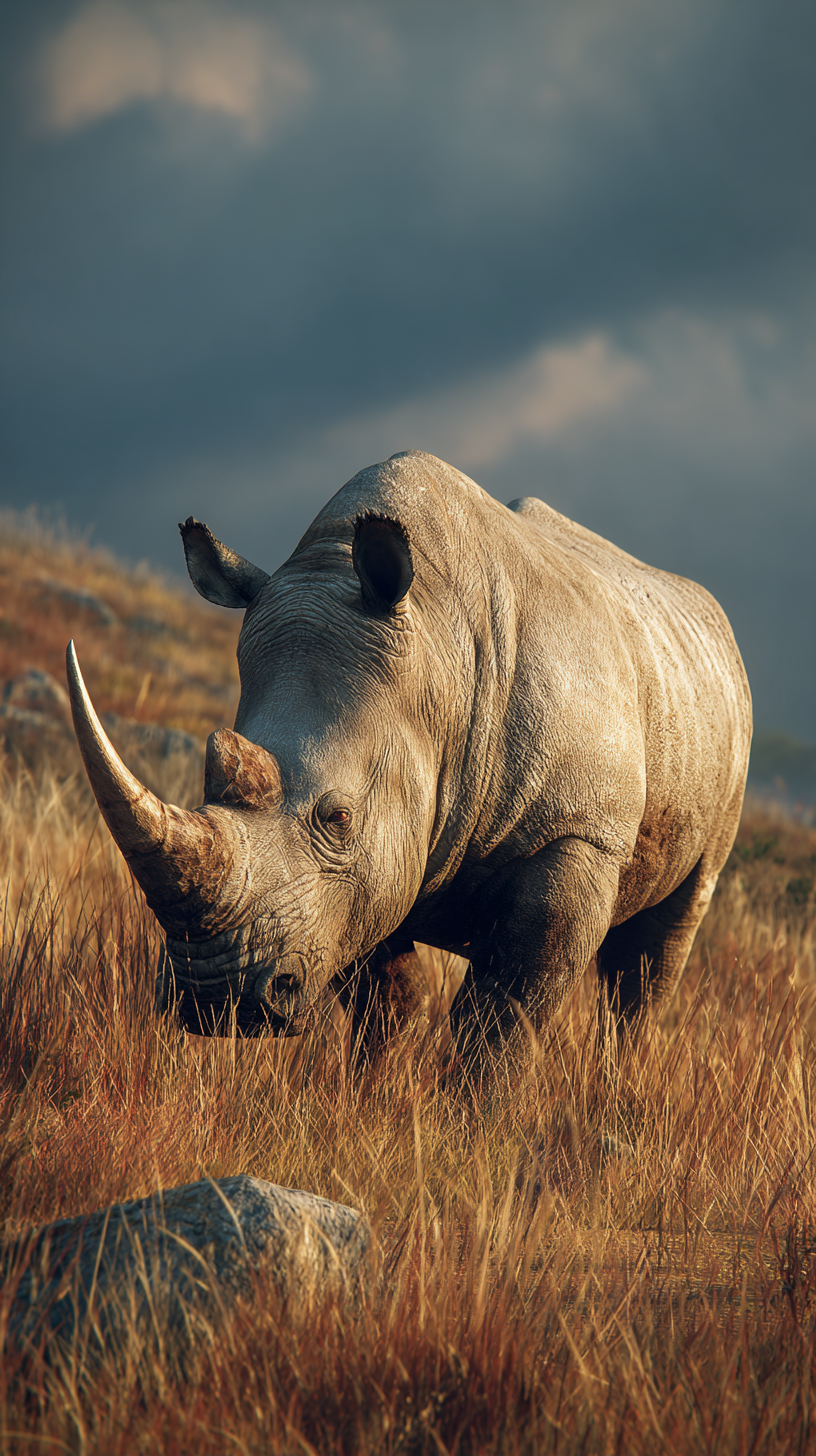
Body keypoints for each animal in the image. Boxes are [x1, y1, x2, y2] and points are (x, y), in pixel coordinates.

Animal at [66, 451, 752, 1046]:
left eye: (338, 818)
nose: (214, 998)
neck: (440, 659)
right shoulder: (368, 869)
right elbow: (387, 999)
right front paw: (371, 1100)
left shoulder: (578, 834)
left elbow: (503, 1018)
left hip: (722, 729)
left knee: (658, 952)